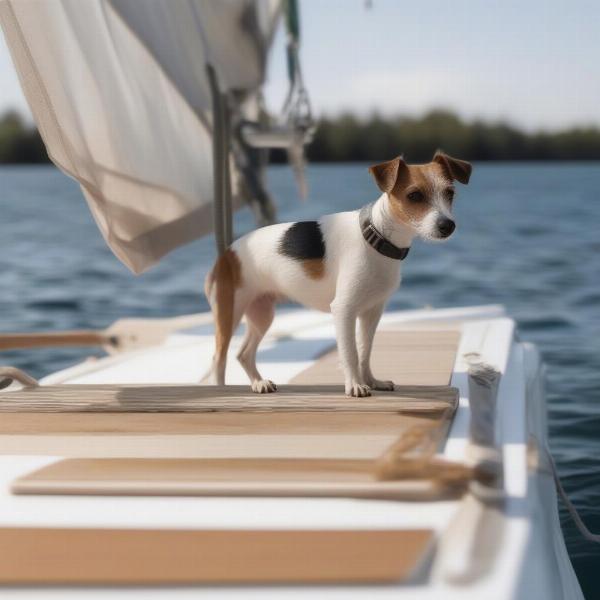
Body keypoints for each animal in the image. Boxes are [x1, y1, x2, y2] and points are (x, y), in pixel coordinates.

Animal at [204, 150, 472, 396]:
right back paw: (221, 389)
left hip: (261, 314)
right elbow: (350, 352)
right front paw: (355, 385)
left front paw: (371, 381)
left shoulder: (371, 312)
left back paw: (259, 383)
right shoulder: (344, 310)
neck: (375, 237)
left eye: (450, 193)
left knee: (243, 354)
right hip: (230, 311)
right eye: (414, 195)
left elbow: (365, 350)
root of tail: (226, 254)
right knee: (219, 357)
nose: (447, 225)